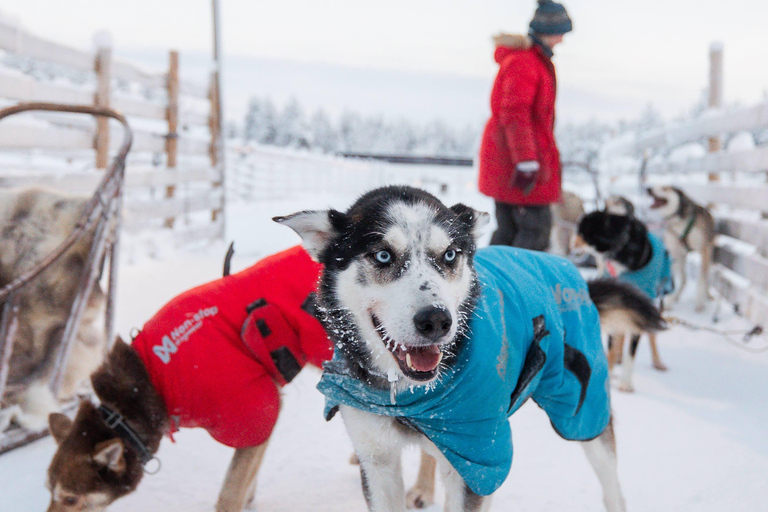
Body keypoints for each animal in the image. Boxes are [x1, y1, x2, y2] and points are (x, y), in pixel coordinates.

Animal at [576, 209, 672, 392]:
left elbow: (631, 353)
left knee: (651, 335)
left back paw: (657, 361)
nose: (573, 243)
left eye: (582, 233)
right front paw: (611, 369)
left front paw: (625, 383)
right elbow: (613, 347)